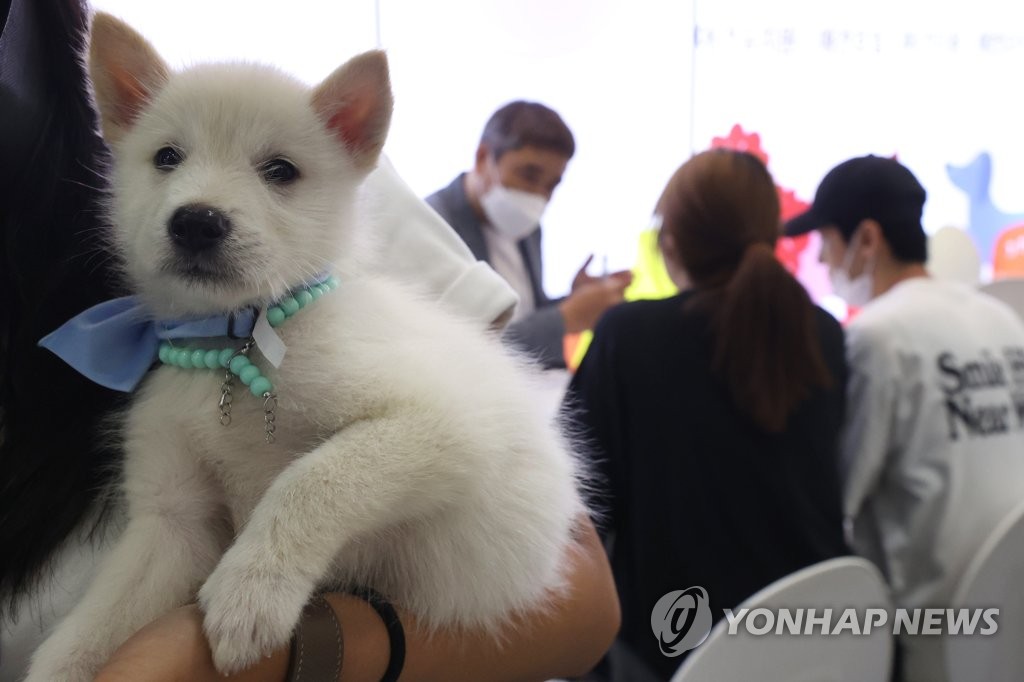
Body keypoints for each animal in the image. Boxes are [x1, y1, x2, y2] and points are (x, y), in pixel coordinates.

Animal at [24, 13, 581, 675]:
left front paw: (251, 590)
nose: (196, 222)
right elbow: (96, 622)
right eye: (166, 157)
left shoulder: (444, 425)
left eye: (280, 171)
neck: (236, 347)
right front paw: (63, 662)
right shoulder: (173, 520)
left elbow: (314, 479)